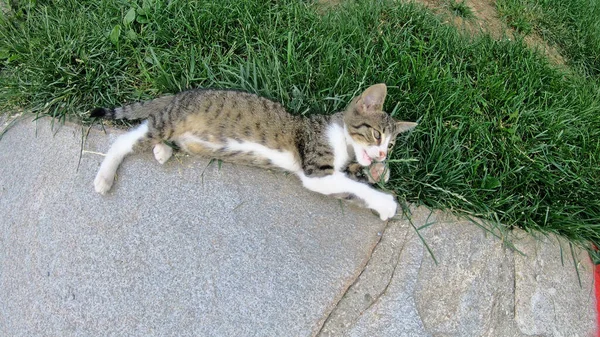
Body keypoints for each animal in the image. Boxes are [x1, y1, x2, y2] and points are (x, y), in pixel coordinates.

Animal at [91, 83, 418, 220]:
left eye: (391, 145)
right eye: (377, 135)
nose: (382, 154)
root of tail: (180, 94)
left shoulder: (338, 169)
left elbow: (355, 180)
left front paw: (380, 172)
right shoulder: (316, 170)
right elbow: (354, 187)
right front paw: (387, 203)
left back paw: (162, 152)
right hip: (169, 122)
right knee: (126, 140)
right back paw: (105, 176)